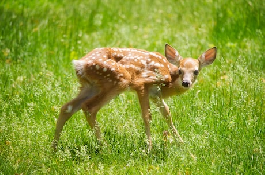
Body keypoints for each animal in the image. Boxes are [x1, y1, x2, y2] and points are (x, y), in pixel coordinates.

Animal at [52, 44, 217, 152]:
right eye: (180, 70)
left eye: (196, 71)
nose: (186, 83)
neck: (169, 79)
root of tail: (79, 63)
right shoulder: (142, 83)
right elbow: (147, 116)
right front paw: (149, 148)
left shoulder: (155, 94)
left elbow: (167, 114)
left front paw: (182, 144)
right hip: (118, 79)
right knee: (89, 107)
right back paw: (106, 149)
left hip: (91, 86)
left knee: (67, 107)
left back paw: (54, 148)